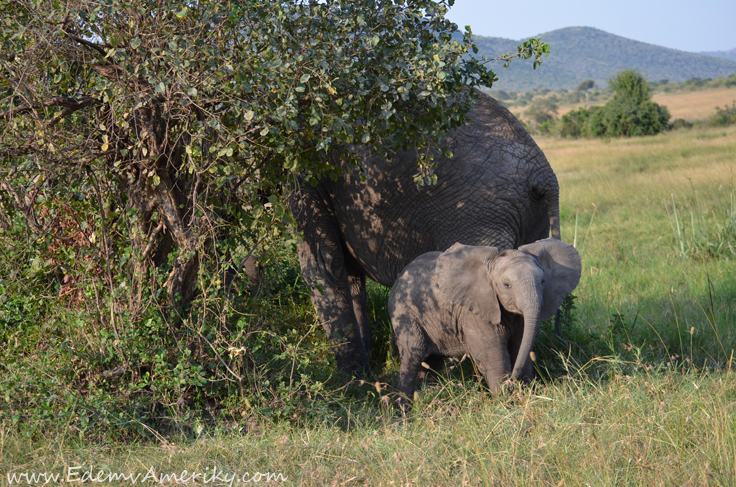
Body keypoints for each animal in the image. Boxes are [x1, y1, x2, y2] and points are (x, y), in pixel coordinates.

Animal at [290, 89, 560, 376]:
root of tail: (544, 174)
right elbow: (349, 275)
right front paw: (365, 371)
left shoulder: (307, 168)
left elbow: (323, 265)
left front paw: (351, 379)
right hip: (525, 216)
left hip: (481, 213)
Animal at [388, 238, 584, 406]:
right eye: (506, 285)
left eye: (543, 282)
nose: (512, 382)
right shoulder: (475, 311)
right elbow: (493, 357)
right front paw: (505, 401)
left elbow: (520, 347)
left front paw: (527, 394)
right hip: (405, 313)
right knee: (413, 353)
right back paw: (404, 408)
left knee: (431, 362)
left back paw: (426, 396)